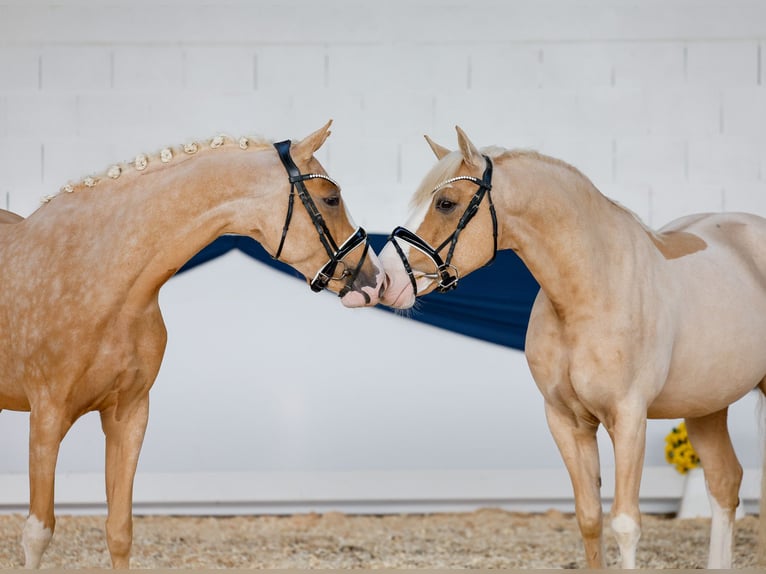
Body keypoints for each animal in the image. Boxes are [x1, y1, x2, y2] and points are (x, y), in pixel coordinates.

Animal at [0, 119, 384, 568]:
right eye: (331, 199)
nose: (376, 280)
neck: (97, 275)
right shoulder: (46, 418)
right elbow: (37, 534)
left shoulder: (129, 415)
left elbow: (119, 530)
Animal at [380, 124, 766, 568]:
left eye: (446, 203)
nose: (387, 278)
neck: (593, 289)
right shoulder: (567, 421)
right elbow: (589, 519)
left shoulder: (629, 419)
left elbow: (625, 524)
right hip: (707, 405)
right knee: (724, 481)